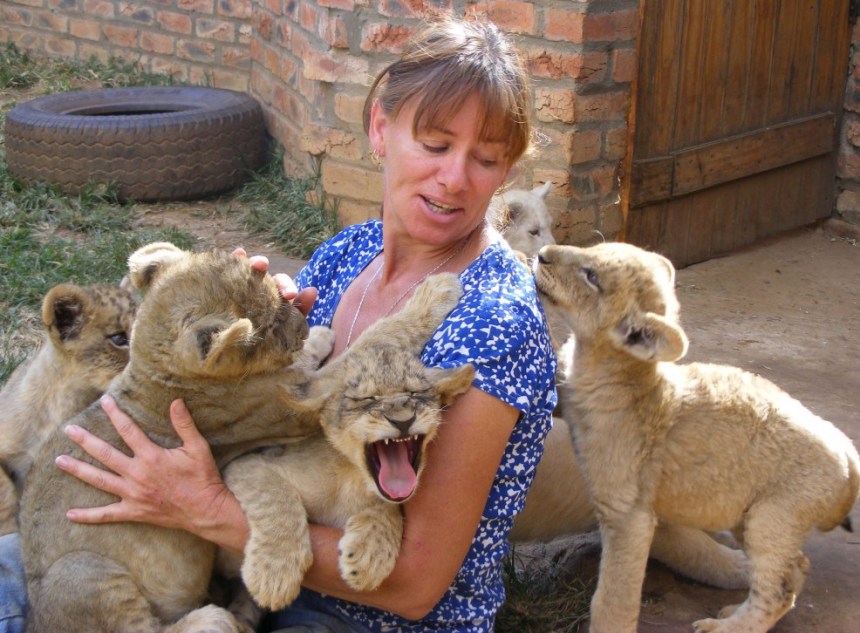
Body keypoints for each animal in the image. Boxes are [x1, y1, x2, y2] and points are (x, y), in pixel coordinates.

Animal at [19, 242, 334, 633]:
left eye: (280, 299)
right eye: (271, 326)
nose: (304, 325)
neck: (156, 372)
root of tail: (36, 621)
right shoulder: (280, 408)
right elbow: (311, 372)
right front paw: (323, 336)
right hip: (82, 572)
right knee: (146, 629)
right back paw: (213, 618)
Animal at [222, 271, 475, 610]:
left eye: (415, 394)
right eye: (366, 399)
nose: (402, 419)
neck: (350, 477)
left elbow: (389, 508)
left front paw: (370, 554)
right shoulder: (250, 462)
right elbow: (275, 499)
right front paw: (274, 573)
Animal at [533, 241, 860, 633]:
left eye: (591, 276)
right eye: (592, 249)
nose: (543, 253)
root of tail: (848, 453)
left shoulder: (627, 514)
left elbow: (613, 598)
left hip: (774, 518)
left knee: (778, 590)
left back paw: (723, 627)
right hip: (748, 518)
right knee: (795, 569)